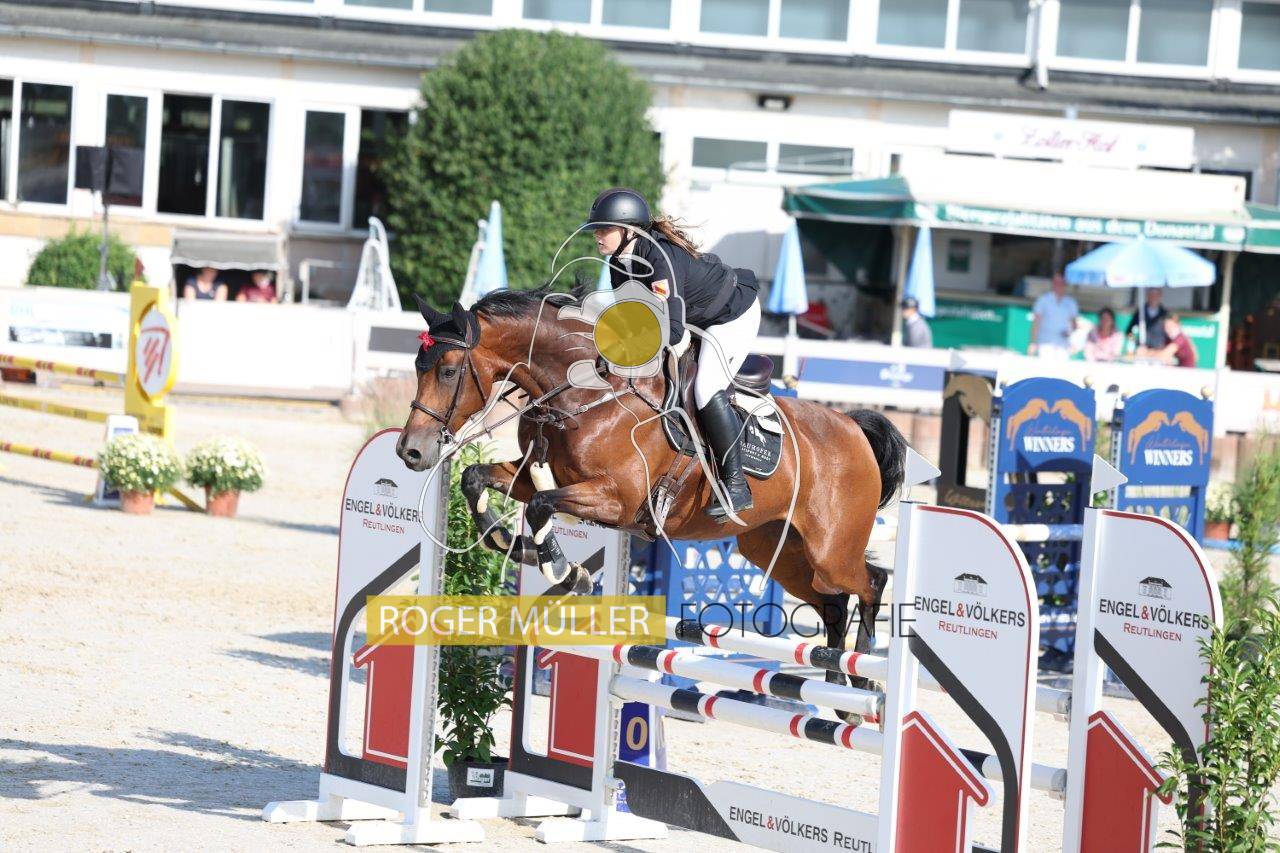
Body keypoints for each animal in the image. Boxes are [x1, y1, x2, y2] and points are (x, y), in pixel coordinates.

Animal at [396, 289, 907, 707]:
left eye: (448, 371)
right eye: (418, 369)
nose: (411, 452)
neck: (583, 394)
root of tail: (853, 426)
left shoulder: (613, 501)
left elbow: (541, 507)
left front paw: (566, 571)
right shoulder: (534, 475)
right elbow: (476, 479)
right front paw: (509, 543)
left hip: (830, 549)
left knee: (872, 583)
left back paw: (863, 683)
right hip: (776, 551)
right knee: (833, 604)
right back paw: (838, 688)